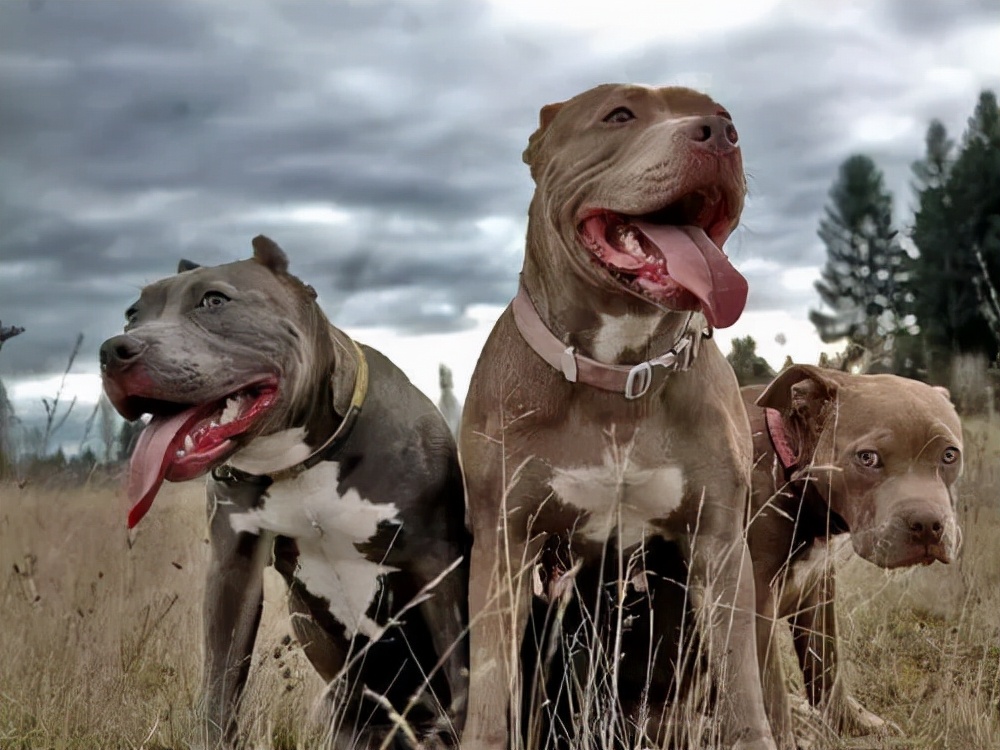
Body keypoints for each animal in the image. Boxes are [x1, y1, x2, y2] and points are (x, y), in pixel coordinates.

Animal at [99, 239, 466, 750]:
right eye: (132, 314)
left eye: (214, 301)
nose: (113, 350)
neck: (302, 460)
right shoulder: (233, 567)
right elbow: (221, 683)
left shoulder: (436, 564)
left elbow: (464, 674)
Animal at [460, 83, 780, 750]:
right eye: (619, 115)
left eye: (724, 114)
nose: (720, 133)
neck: (619, 375)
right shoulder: (503, 546)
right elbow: (491, 690)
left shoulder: (720, 547)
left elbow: (743, 689)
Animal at [748, 364, 964, 748]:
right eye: (868, 458)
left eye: (950, 455)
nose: (928, 525)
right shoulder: (753, 602)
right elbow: (770, 693)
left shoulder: (817, 586)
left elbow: (827, 663)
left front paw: (850, 723)